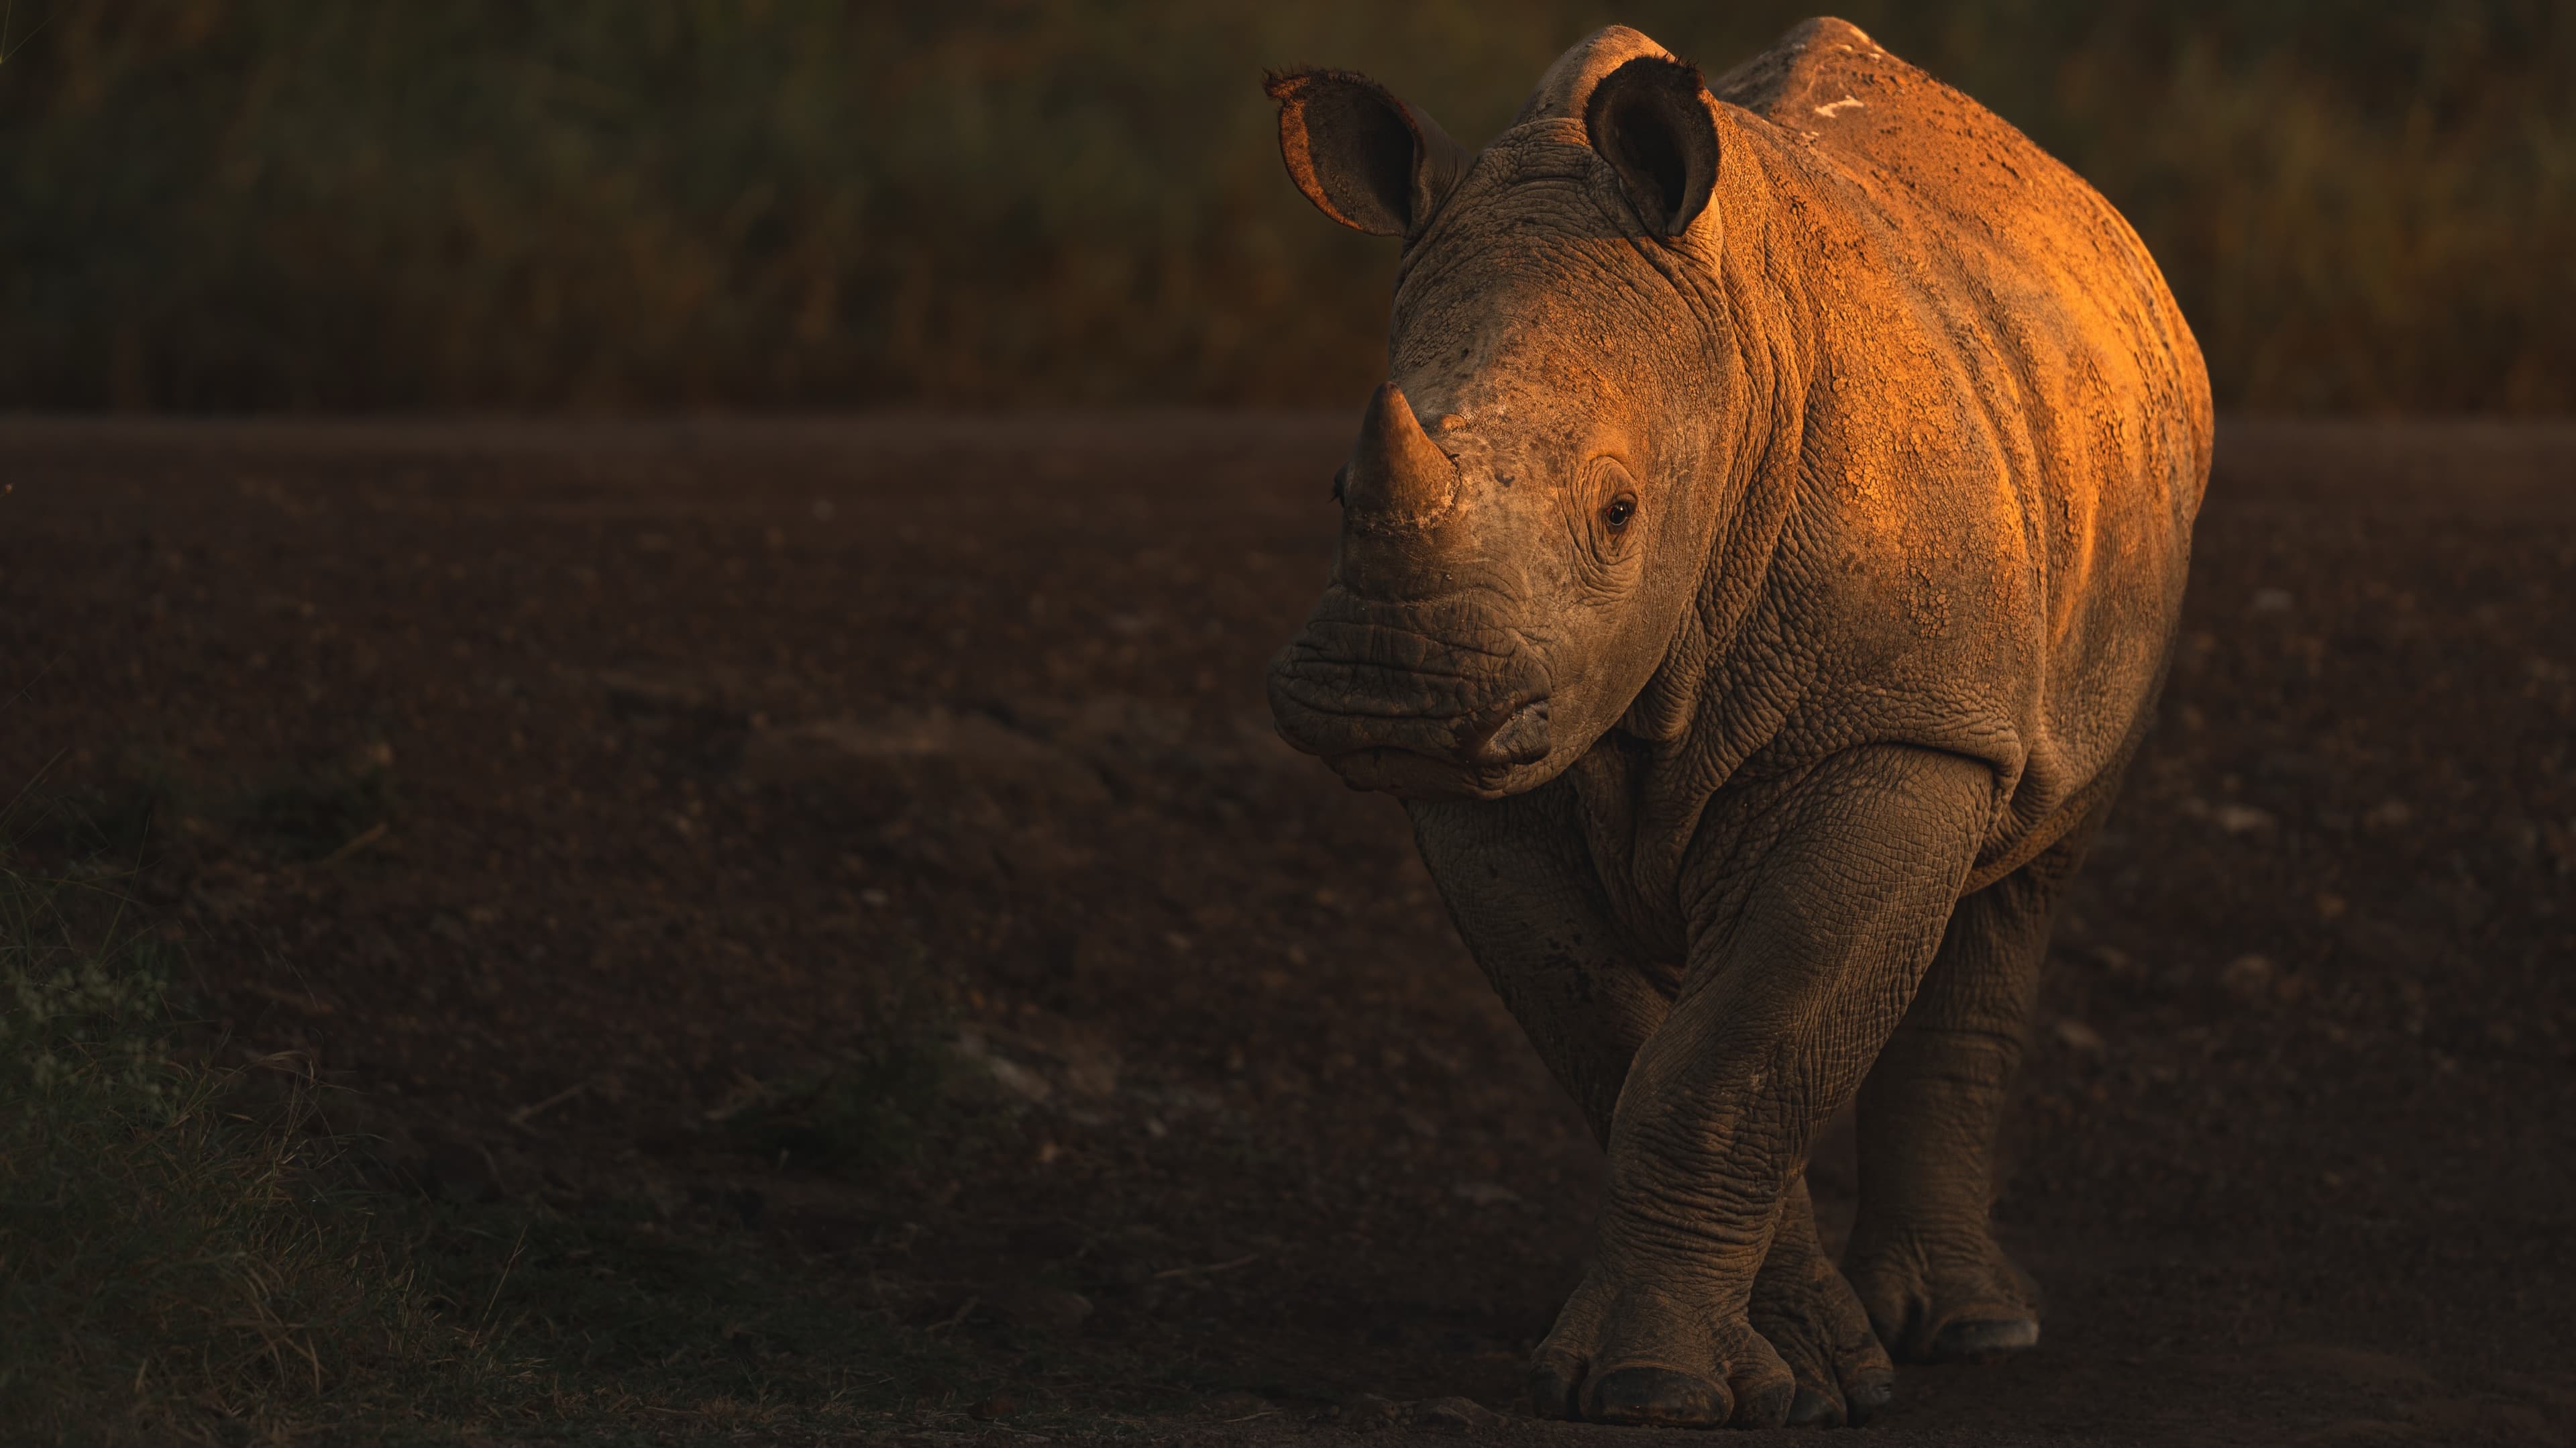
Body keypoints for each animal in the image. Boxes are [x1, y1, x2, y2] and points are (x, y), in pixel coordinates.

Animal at [1262, 17, 2211, 1431]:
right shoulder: (1491, 766)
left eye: (1617, 512)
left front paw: (1659, 1385)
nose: (1391, 690)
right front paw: (1792, 1364)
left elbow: (1732, 1054)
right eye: (1334, 487)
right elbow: (1629, 1040)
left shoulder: (1900, 728)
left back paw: (1980, 1330)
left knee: (2028, 867)